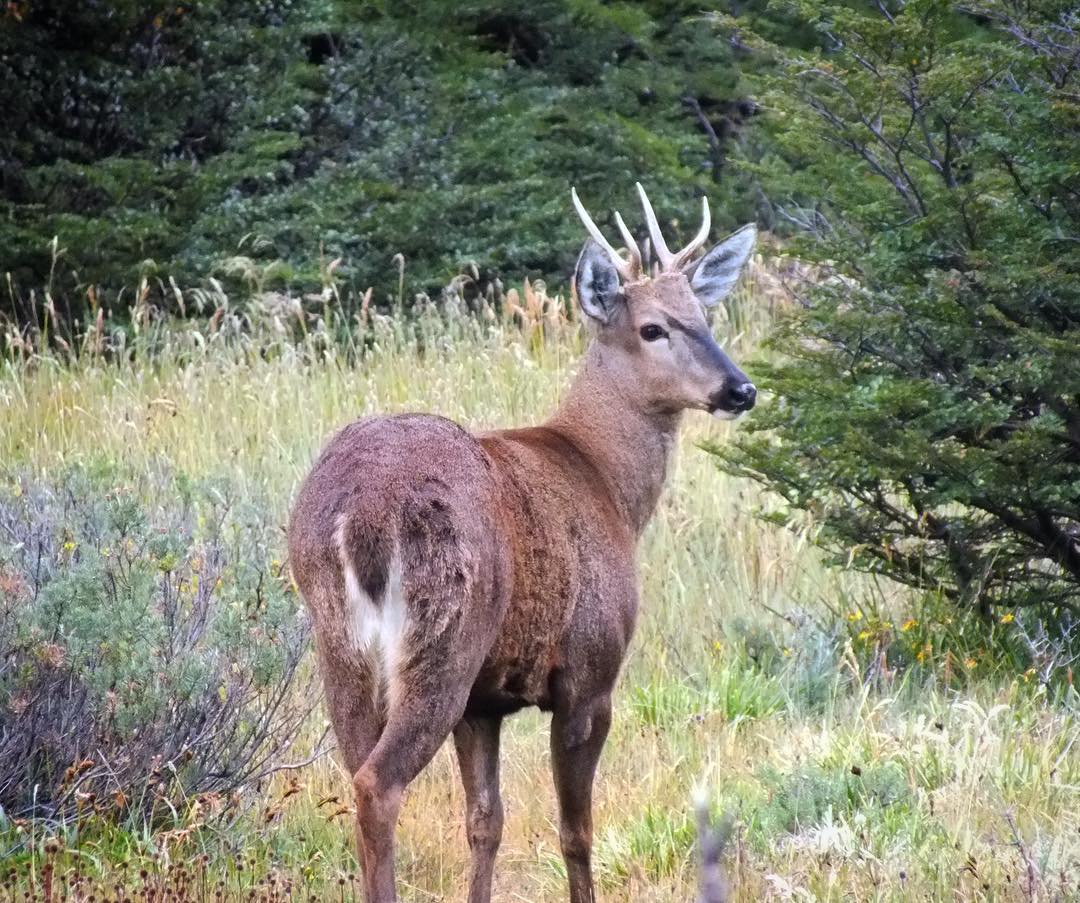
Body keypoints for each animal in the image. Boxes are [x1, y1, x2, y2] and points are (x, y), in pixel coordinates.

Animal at [287, 184, 760, 903]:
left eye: (704, 315)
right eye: (653, 327)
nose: (741, 388)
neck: (606, 483)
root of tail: (357, 516)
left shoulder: (487, 702)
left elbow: (486, 822)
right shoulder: (590, 673)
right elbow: (577, 831)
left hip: (341, 647)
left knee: (358, 771)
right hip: (444, 637)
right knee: (378, 784)